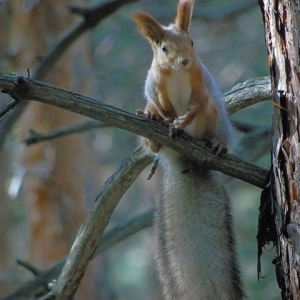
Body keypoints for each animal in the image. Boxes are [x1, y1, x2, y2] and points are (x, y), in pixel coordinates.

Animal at [132, 0, 245, 300]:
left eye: (191, 41)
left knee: (210, 117)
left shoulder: (200, 80)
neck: (178, 73)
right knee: (153, 131)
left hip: (215, 117)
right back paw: (155, 127)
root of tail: (187, 160)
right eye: (163, 48)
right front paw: (164, 118)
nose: (184, 60)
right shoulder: (154, 86)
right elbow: (161, 104)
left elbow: (198, 103)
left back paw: (215, 143)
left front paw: (183, 120)